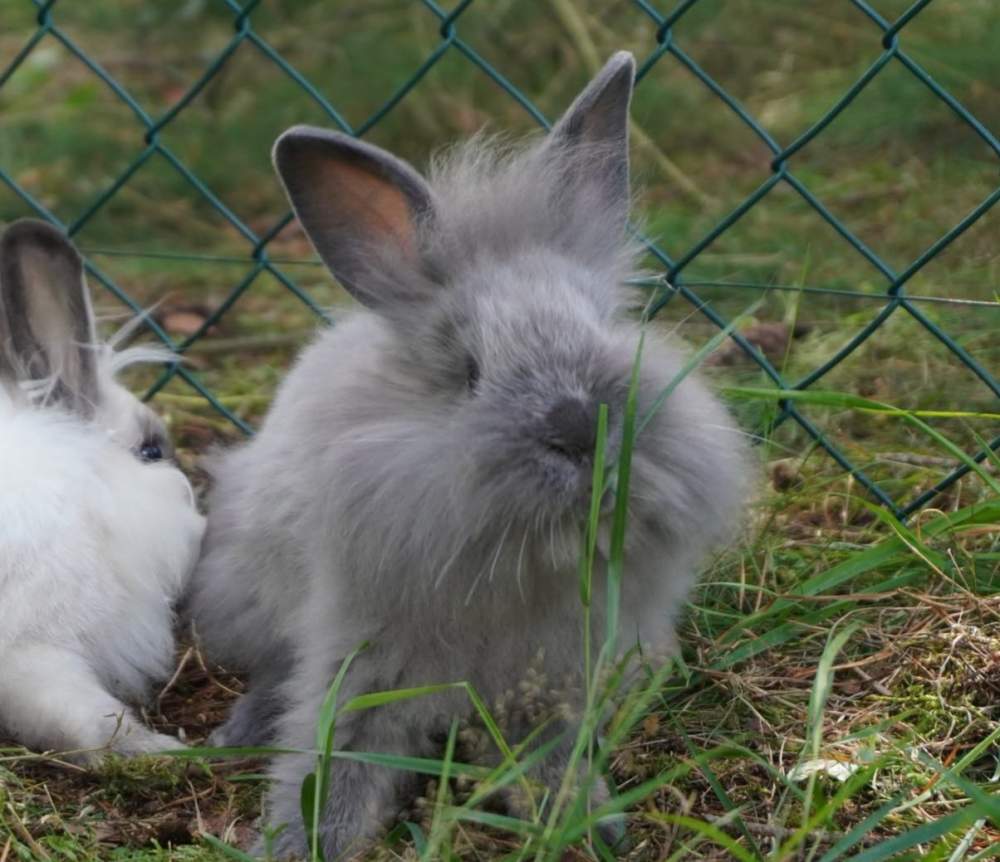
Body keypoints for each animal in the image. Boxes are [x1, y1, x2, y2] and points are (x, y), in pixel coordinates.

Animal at [185, 51, 750, 858]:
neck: (524, 559)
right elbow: (332, 762)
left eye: (606, 331)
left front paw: (586, 824)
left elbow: (550, 761)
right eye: (468, 371)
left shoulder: (551, 682)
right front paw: (302, 843)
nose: (581, 428)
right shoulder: (361, 661)